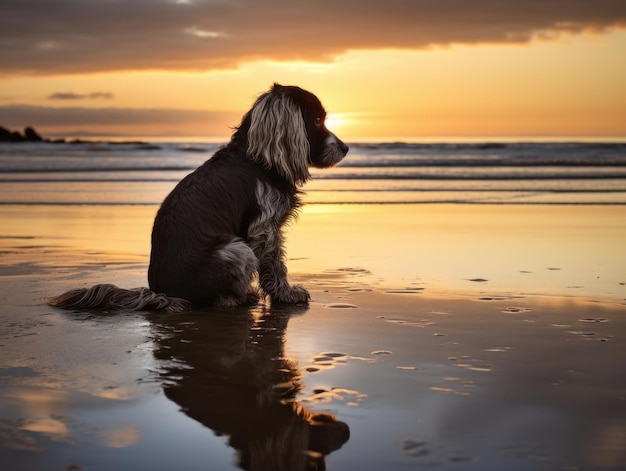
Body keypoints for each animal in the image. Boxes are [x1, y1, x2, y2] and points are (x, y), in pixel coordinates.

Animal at [48, 85, 348, 314]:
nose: (346, 148)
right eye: (317, 120)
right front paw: (287, 295)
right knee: (216, 298)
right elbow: (275, 266)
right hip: (236, 249)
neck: (257, 159)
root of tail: (162, 293)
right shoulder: (265, 229)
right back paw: (238, 298)